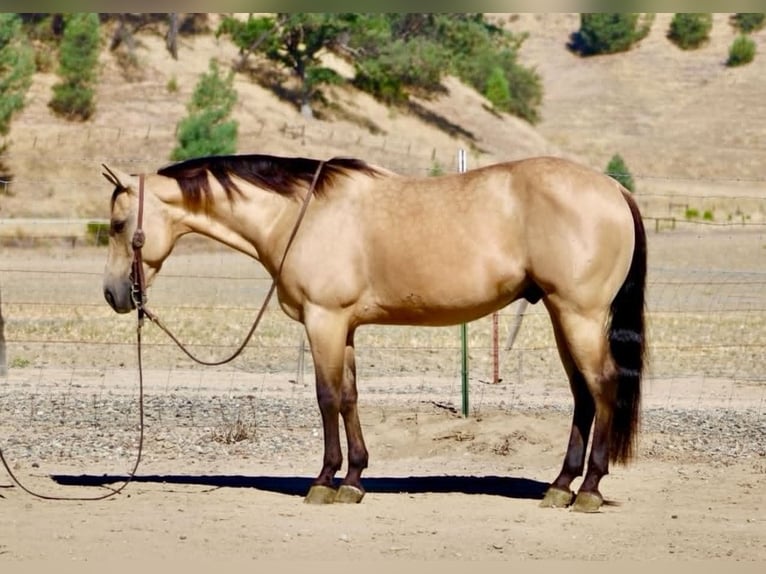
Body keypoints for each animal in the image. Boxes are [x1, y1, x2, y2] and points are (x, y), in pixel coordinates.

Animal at [101, 153, 646, 513]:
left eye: (118, 223)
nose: (113, 294)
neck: (299, 214)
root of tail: (612, 189)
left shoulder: (323, 320)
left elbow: (325, 397)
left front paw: (323, 482)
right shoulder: (343, 326)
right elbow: (349, 397)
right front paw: (355, 479)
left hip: (578, 314)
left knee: (603, 388)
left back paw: (589, 490)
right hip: (561, 314)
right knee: (582, 395)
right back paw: (561, 485)